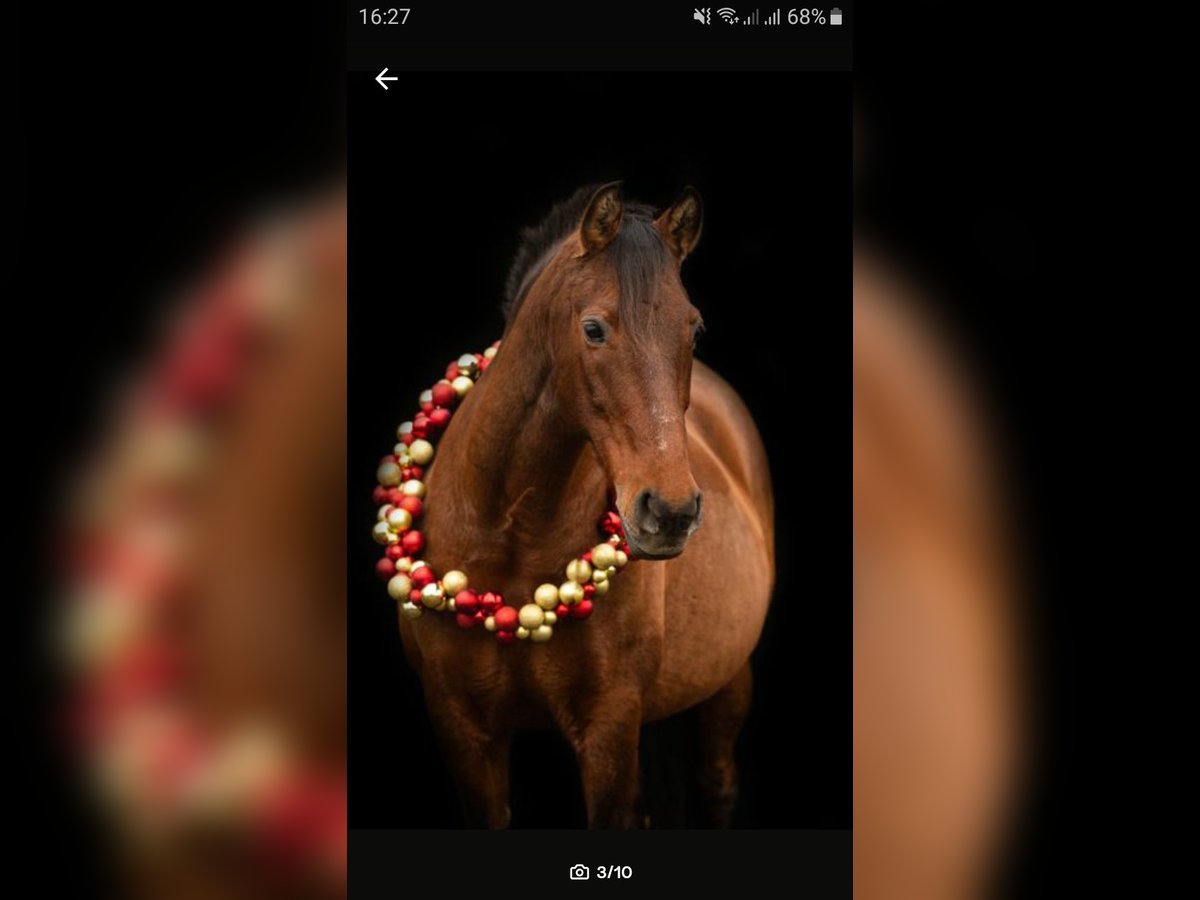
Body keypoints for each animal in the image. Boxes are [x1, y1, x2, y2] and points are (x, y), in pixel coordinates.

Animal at [397, 183, 774, 828]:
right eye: (594, 329)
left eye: (695, 330)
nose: (670, 512)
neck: (510, 535)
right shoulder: (463, 731)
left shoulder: (607, 730)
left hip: (730, 682)